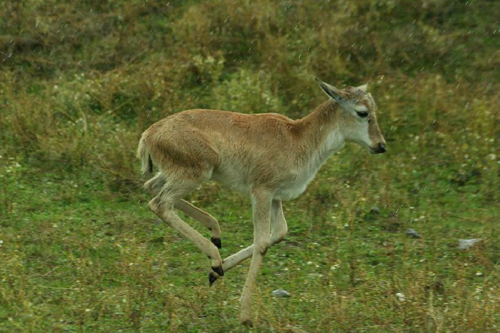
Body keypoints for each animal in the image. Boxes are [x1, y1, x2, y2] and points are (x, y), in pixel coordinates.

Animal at [137, 78, 386, 324]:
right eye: (363, 112)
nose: (381, 145)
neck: (297, 136)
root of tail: (148, 134)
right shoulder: (261, 193)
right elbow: (262, 243)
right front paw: (245, 315)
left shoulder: (275, 198)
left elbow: (280, 232)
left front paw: (215, 274)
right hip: (195, 175)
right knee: (159, 203)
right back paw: (215, 256)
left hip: (179, 176)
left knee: (151, 187)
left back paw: (215, 236)